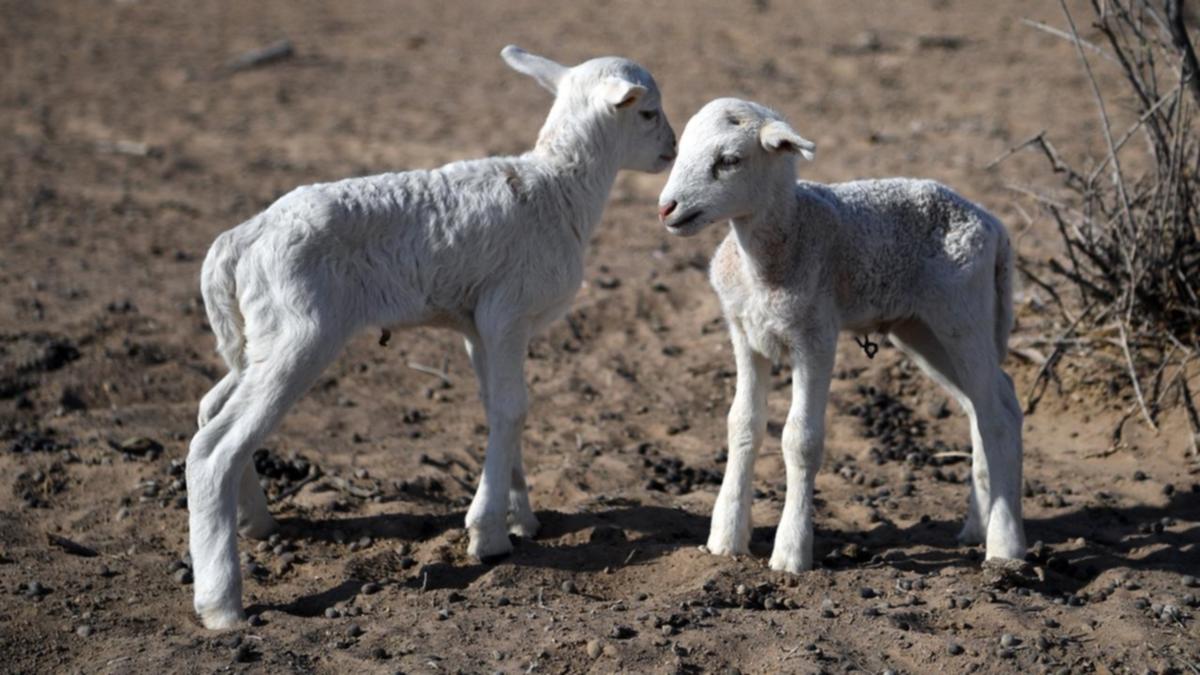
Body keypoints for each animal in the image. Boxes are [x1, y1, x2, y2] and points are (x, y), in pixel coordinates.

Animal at [188, 46, 677, 629]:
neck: (556, 190)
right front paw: (487, 536)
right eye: (647, 113)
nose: (672, 150)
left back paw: (255, 523)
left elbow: (500, 408)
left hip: (256, 337)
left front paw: (521, 518)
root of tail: (242, 238)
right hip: (299, 333)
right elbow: (514, 407)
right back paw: (221, 602)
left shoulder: (479, 325)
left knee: (211, 407)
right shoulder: (507, 311)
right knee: (214, 449)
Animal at [657, 98, 1025, 573]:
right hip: (922, 331)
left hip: (965, 315)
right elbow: (742, 425)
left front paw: (791, 553)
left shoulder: (815, 337)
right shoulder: (744, 333)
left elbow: (801, 440)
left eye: (730, 160)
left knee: (997, 415)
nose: (666, 208)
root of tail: (993, 223)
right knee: (986, 404)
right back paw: (976, 528)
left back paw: (1005, 545)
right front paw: (725, 539)